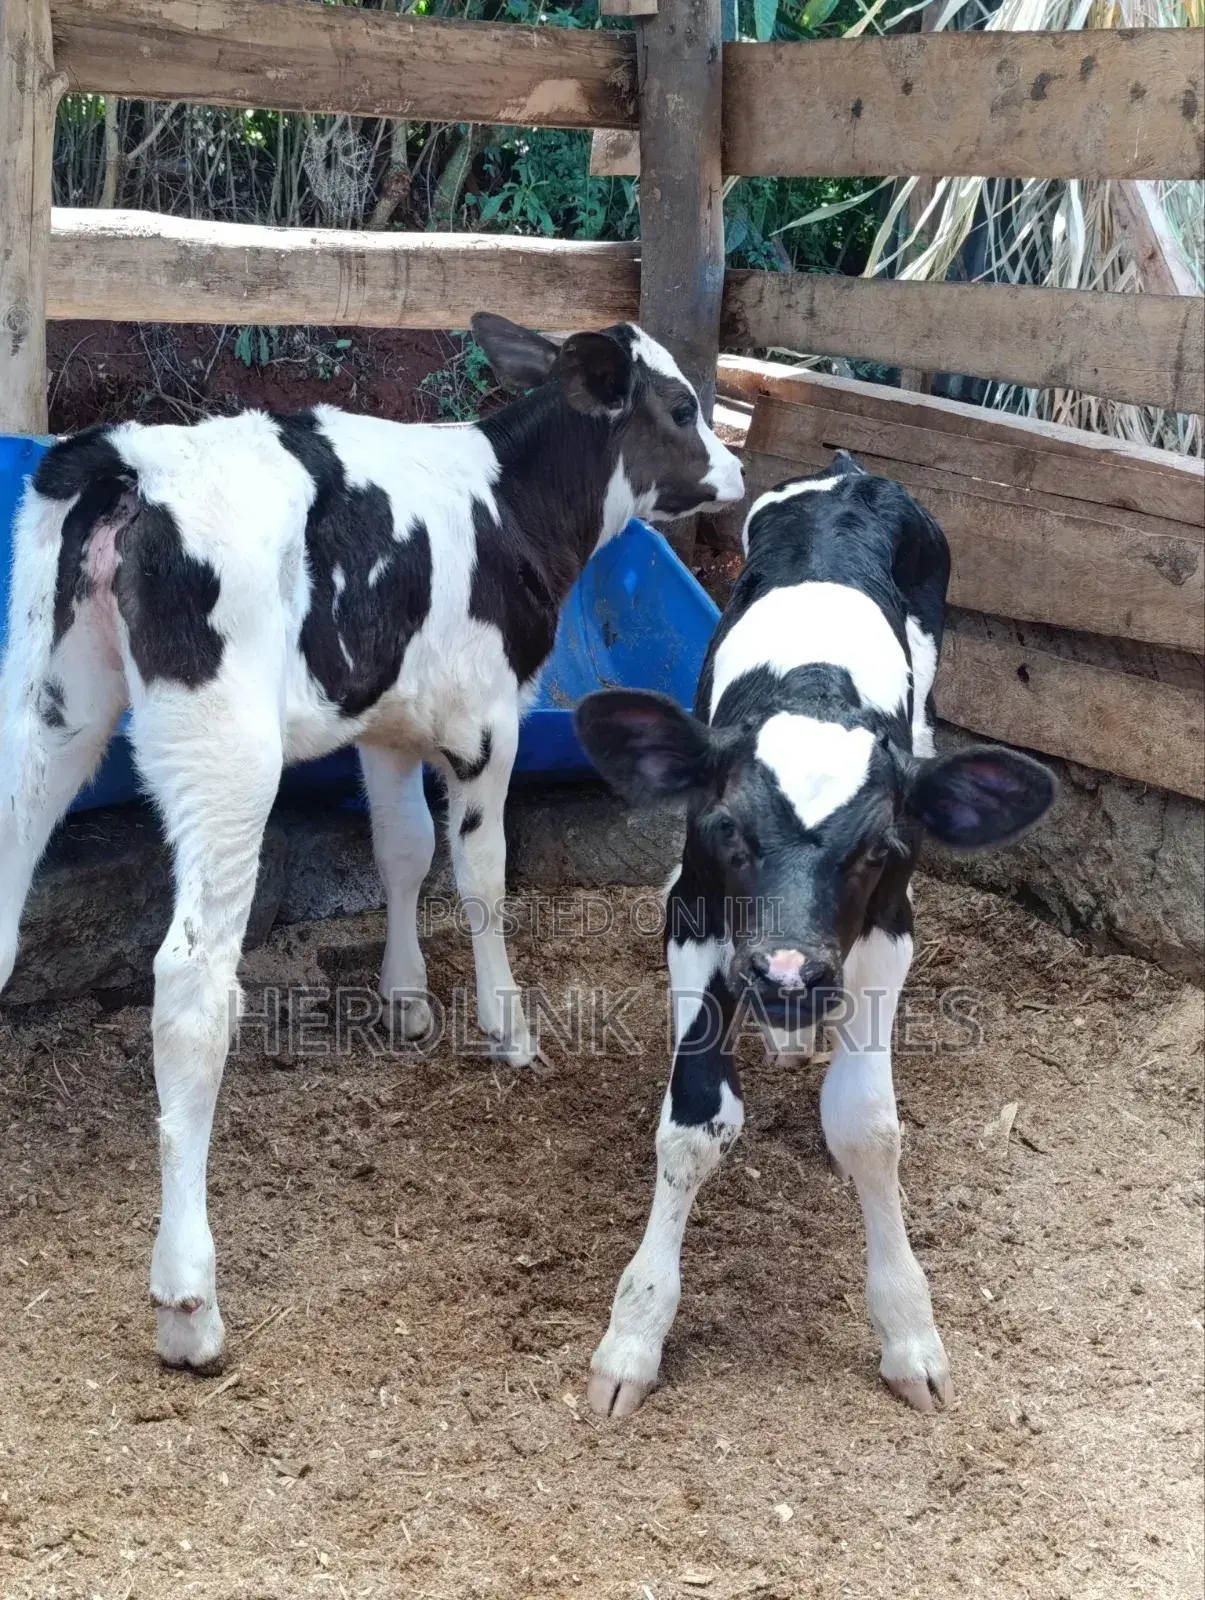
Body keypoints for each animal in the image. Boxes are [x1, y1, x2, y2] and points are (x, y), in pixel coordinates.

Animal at [0, 315, 744, 1371]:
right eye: (680, 408)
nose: (733, 470)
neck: (505, 502)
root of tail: (129, 457)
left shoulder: (389, 722)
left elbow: (401, 848)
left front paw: (404, 998)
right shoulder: (487, 724)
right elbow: (478, 874)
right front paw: (505, 1024)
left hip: (50, 701)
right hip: (223, 751)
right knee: (191, 986)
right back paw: (188, 1300)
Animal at [573, 450, 1055, 1418]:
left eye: (879, 848)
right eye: (727, 829)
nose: (788, 974)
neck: (813, 686)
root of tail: (850, 474)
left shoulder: (888, 931)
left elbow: (867, 1126)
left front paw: (908, 1327)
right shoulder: (696, 918)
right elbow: (693, 1121)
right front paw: (634, 1332)